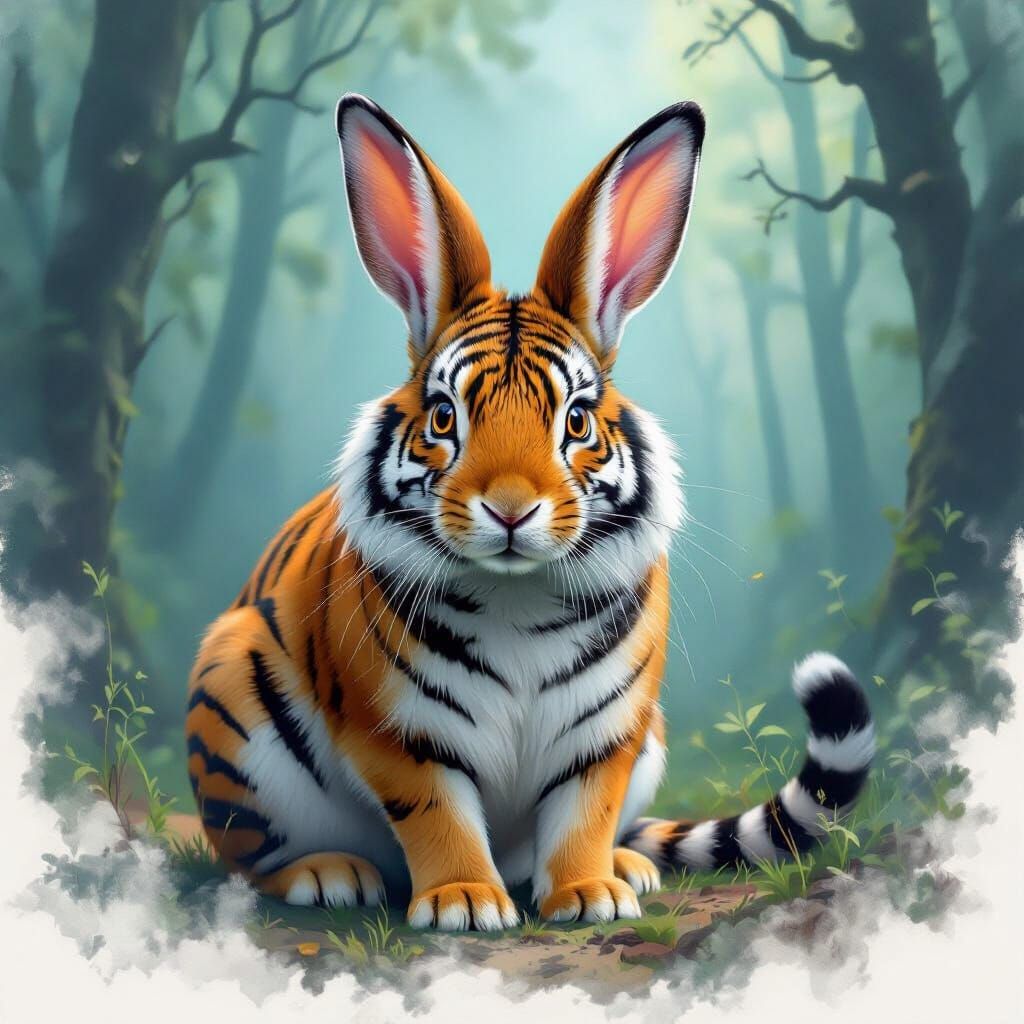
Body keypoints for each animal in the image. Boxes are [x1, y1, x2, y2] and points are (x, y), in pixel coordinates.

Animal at [185, 94, 875, 930]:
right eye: (444, 417)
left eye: (575, 420)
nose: (510, 510)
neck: (517, 600)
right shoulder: (397, 733)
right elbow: (436, 813)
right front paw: (462, 900)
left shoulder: (610, 734)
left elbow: (585, 811)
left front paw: (588, 892)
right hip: (233, 688)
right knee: (248, 858)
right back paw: (327, 874)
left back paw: (628, 865)